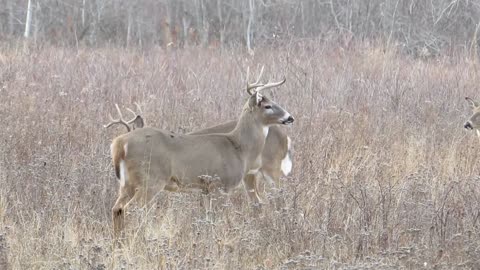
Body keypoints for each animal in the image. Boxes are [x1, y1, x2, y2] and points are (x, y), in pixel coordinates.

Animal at [108, 69, 292, 234]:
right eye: (268, 106)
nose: (290, 117)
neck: (240, 148)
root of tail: (120, 143)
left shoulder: (206, 188)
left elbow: (208, 217)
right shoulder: (220, 184)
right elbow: (218, 217)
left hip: (127, 183)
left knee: (117, 208)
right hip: (151, 179)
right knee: (132, 209)